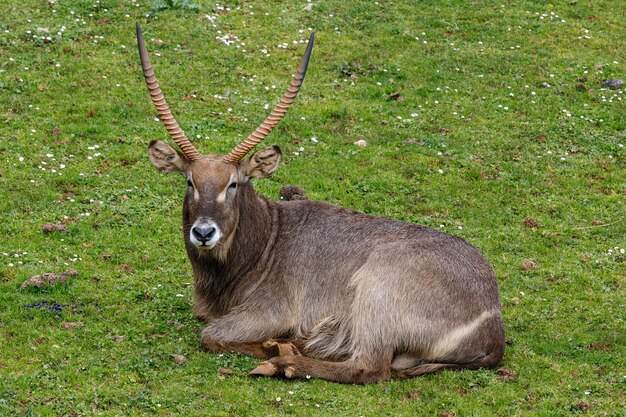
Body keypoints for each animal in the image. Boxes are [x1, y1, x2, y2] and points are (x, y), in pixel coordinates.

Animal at [135, 24, 502, 384]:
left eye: (234, 183)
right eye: (190, 181)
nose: (203, 233)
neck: (267, 239)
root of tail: (492, 328)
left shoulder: (269, 311)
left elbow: (210, 335)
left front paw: (276, 345)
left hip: (376, 293)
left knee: (367, 369)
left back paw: (283, 360)